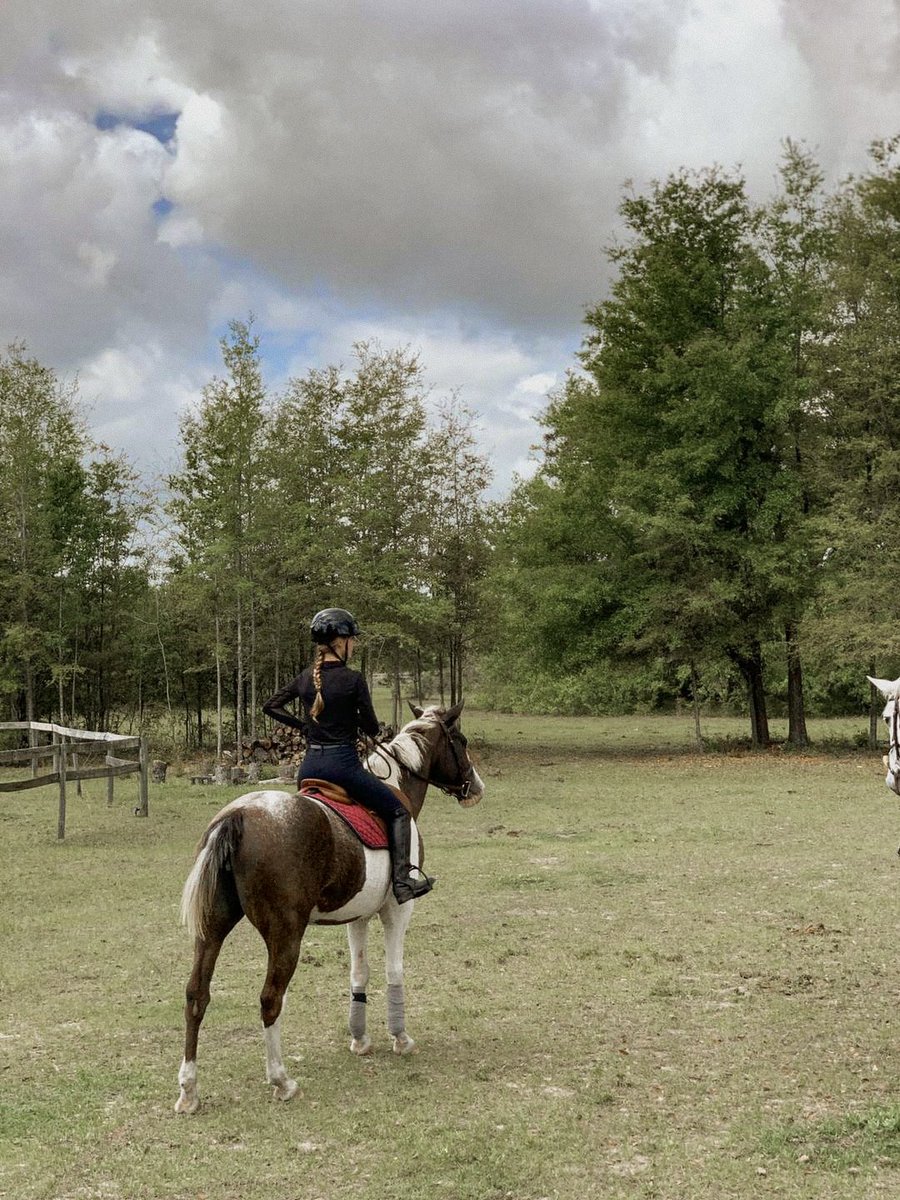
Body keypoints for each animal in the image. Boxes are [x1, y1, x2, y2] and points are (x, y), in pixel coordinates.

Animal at [175, 700, 484, 1114]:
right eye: (461, 740)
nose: (475, 787)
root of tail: (238, 815)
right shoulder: (396, 911)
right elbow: (394, 971)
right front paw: (400, 1038)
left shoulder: (359, 915)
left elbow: (359, 974)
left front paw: (360, 1039)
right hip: (286, 935)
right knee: (270, 999)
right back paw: (282, 1081)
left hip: (212, 928)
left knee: (197, 995)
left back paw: (189, 1091)